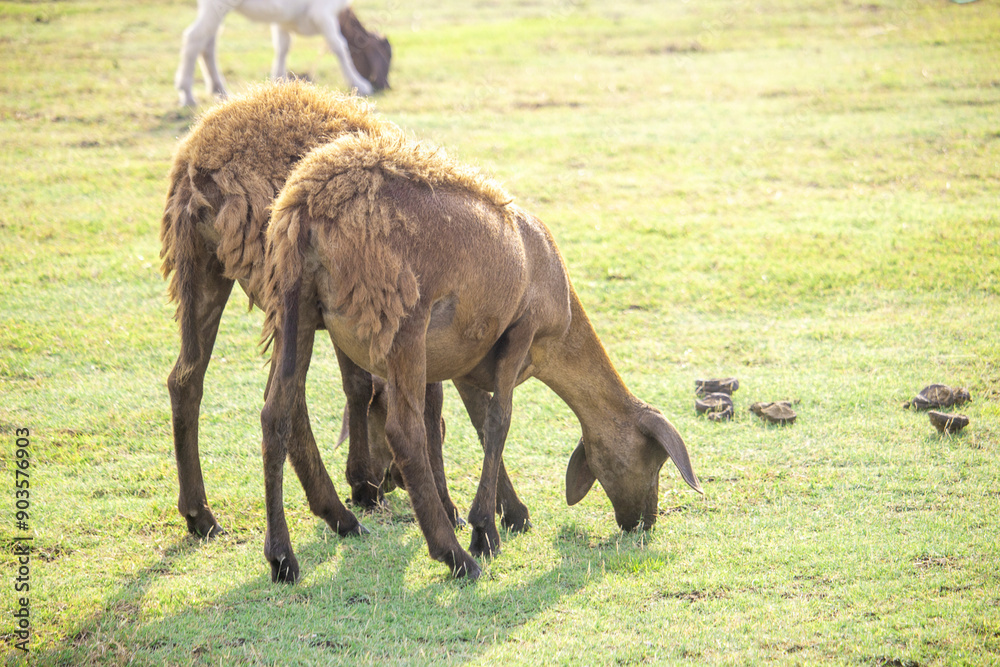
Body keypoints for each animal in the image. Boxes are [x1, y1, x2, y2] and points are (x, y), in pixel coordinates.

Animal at [160, 81, 521, 541]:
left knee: (186, 378)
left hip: (201, 267)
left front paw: (364, 482)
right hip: (281, 290)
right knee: (286, 401)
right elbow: (434, 402)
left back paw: (200, 515)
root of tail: (202, 160)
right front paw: (460, 507)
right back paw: (335, 513)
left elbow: (359, 388)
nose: (393, 479)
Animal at [175, 0, 390, 107]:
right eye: (387, 56)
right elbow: (339, 46)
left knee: (208, 42)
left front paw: (278, 85)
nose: (384, 86)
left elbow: (283, 47)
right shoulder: (323, 14)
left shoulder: (283, 21)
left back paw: (219, 89)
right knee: (194, 37)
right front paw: (360, 85)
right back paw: (187, 94)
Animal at [260, 128, 703, 582]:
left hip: (294, 307)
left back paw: (285, 557)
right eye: (655, 459)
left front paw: (509, 513)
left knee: (276, 414)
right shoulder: (520, 332)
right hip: (403, 323)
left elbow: (474, 422)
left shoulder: (467, 355)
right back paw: (455, 558)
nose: (644, 522)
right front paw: (484, 532)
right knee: (404, 433)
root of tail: (308, 204)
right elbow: (498, 421)